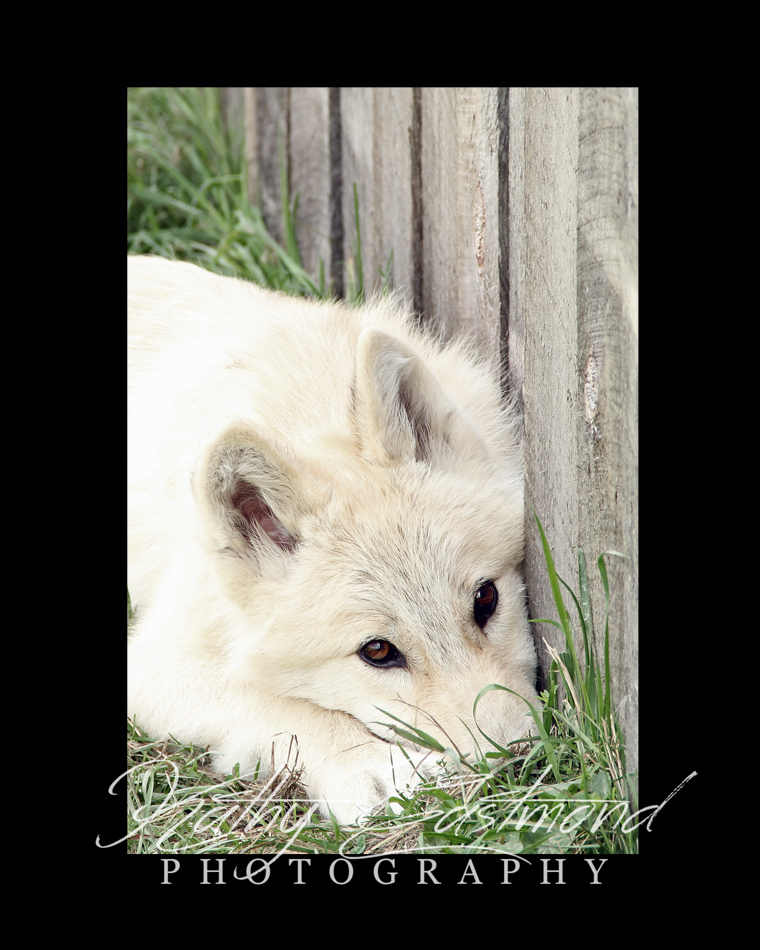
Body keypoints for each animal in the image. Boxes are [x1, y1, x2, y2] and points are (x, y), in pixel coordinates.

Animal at [127, 255, 539, 826]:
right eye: (377, 651)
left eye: (486, 599)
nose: (519, 763)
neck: (299, 410)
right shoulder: (157, 662)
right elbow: (283, 705)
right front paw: (375, 768)